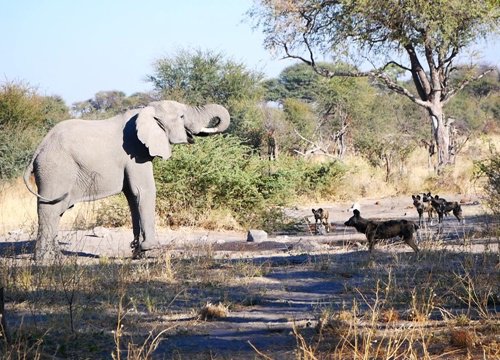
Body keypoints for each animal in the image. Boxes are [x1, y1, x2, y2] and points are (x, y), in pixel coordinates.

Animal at [24, 100, 231, 260]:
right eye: (181, 117)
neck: (146, 110)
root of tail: (39, 149)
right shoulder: (135, 152)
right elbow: (145, 191)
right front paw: (151, 252)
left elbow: (133, 197)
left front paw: (138, 252)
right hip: (56, 168)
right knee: (50, 209)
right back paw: (46, 260)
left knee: (57, 210)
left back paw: (57, 257)